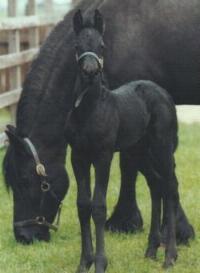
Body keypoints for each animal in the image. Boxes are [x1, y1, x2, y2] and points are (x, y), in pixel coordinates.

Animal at [67, 9, 180, 270]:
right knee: (156, 186)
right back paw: (151, 250)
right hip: (140, 152)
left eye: (102, 45)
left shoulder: (103, 156)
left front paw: (100, 263)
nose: (90, 71)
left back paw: (170, 256)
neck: (89, 110)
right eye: (77, 46)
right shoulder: (78, 157)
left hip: (162, 147)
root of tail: (163, 93)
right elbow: (82, 205)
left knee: (170, 188)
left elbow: (98, 206)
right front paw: (84, 263)